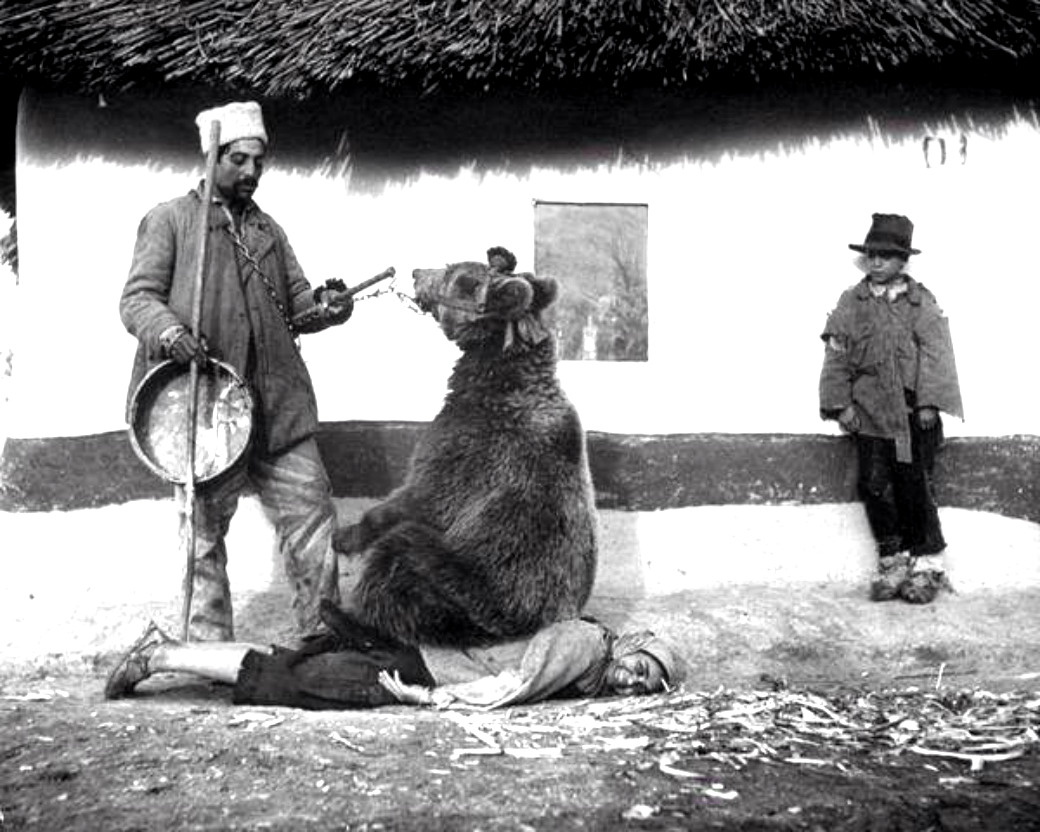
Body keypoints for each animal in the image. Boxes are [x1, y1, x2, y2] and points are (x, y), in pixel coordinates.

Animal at [328, 256, 599, 644]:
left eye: (454, 274)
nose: (416, 272)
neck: (500, 379)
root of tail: (528, 626)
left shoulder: (469, 450)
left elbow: (420, 496)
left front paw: (345, 536)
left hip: (467, 583)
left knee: (398, 556)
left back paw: (348, 621)